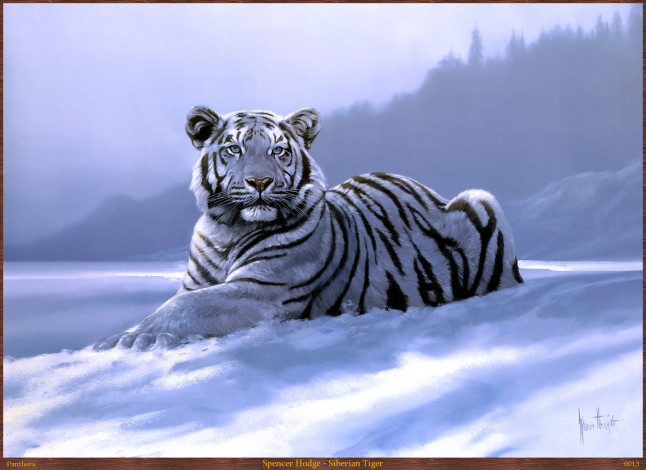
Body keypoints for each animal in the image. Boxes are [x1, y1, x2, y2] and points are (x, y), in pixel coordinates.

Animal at [94, 106, 523, 351]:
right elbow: (180, 300)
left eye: (278, 151)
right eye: (234, 149)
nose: (260, 182)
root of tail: (426, 188)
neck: (228, 229)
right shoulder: (197, 282)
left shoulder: (262, 289)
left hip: (482, 200)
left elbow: (184, 306)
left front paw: (129, 338)